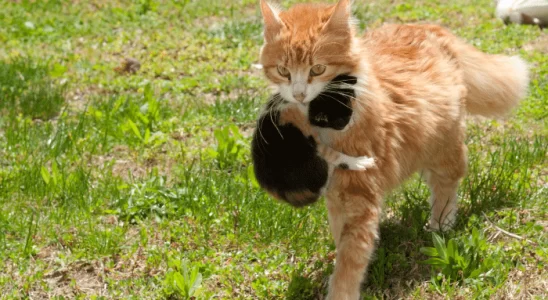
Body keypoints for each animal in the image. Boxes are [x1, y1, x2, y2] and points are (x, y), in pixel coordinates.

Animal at [252, 74, 372, 207]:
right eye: (341, 122)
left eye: (350, 112)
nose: (350, 125)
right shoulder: (312, 137)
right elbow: (335, 155)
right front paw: (361, 162)